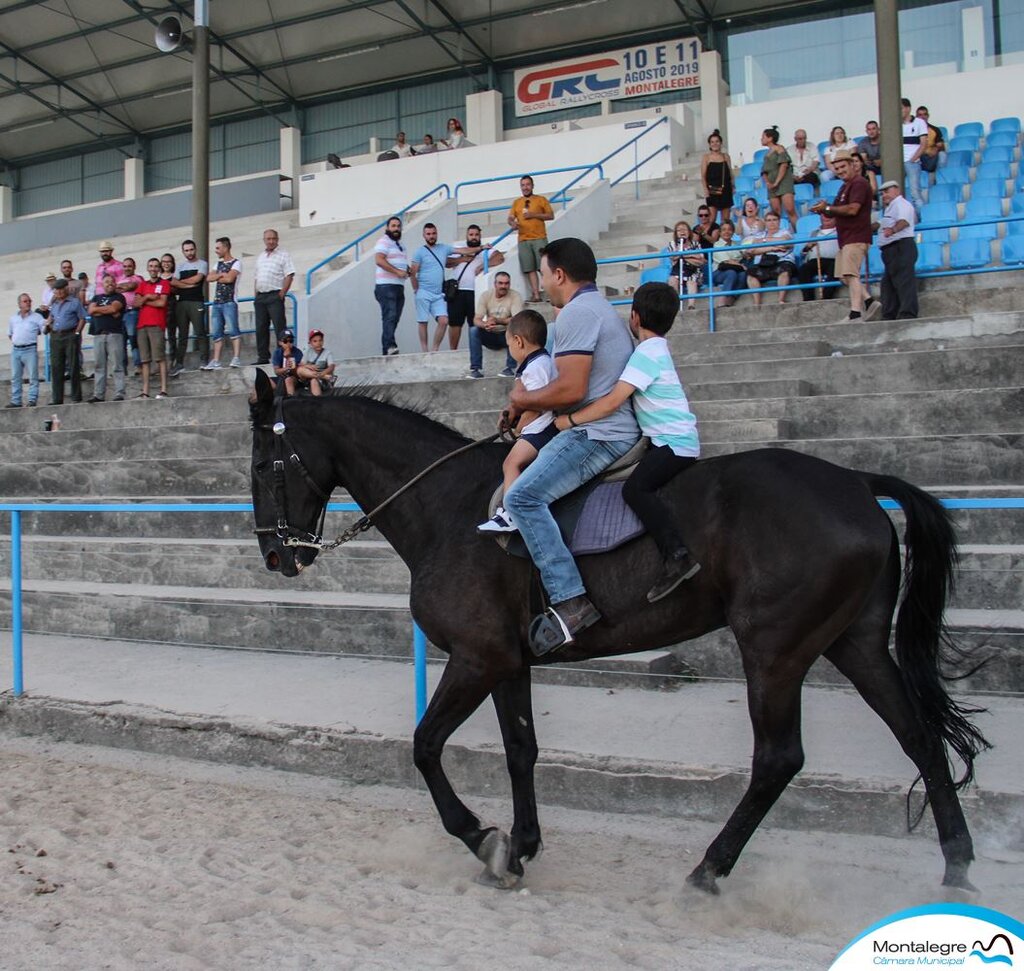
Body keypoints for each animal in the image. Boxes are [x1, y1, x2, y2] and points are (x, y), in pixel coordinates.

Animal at [243, 370, 987, 893]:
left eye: (260, 465)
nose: (278, 556)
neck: (450, 508)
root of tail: (857, 484)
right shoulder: (508, 661)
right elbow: (521, 750)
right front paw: (520, 847)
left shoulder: (477, 658)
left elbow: (425, 746)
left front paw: (481, 836)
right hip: (853, 642)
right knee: (919, 736)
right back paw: (957, 866)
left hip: (774, 651)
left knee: (779, 758)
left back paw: (708, 871)